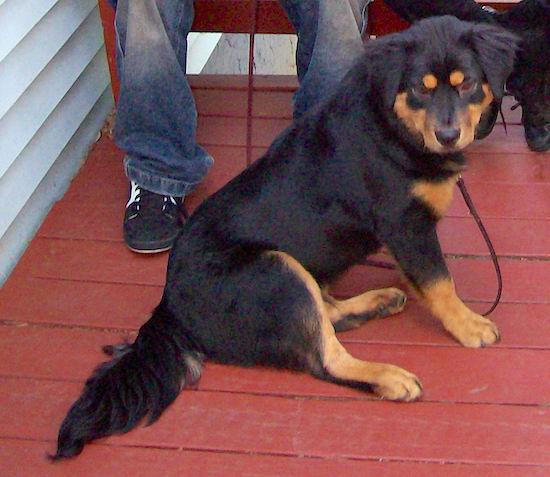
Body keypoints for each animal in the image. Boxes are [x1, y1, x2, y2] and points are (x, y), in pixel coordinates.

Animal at [52, 16, 520, 460]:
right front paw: (469, 325)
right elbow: (440, 282)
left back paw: (378, 301)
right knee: (323, 358)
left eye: (468, 84)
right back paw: (389, 377)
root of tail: (168, 307)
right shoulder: (406, 225)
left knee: (325, 313)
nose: (447, 136)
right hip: (275, 266)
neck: (395, 126)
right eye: (420, 89)